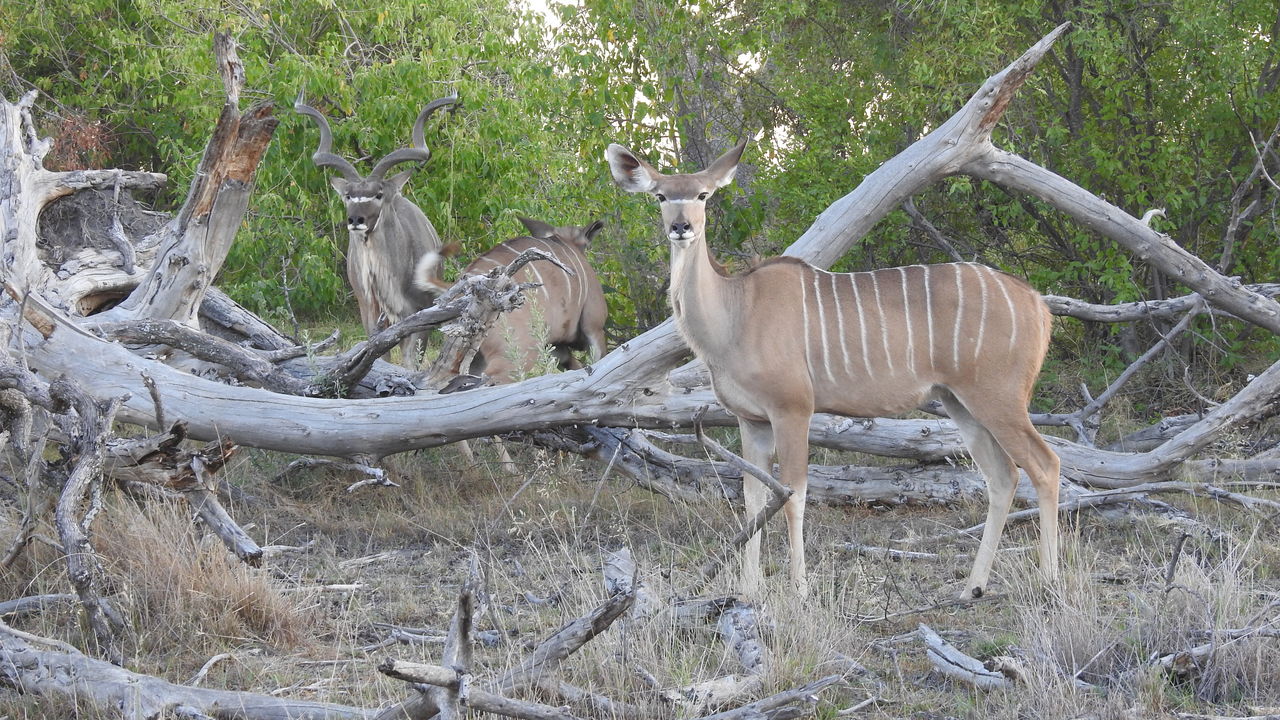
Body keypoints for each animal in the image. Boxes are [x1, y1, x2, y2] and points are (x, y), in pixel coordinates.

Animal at [606, 141, 1059, 599]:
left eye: (702, 195)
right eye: (660, 196)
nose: (681, 227)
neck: (736, 312)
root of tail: (1037, 304)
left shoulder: (792, 410)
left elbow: (795, 493)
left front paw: (800, 590)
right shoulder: (751, 420)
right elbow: (752, 497)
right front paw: (749, 590)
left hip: (998, 398)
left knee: (1045, 465)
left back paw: (1049, 580)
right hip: (959, 402)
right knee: (1002, 476)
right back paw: (971, 588)